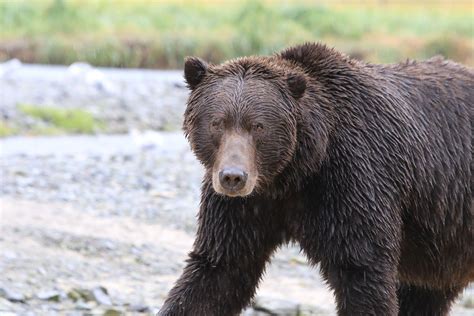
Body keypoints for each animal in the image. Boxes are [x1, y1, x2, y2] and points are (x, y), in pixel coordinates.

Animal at [160, 42, 474, 316]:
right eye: (217, 122)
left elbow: (362, 269)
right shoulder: (246, 207)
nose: (233, 177)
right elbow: (220, 270)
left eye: (258, 126)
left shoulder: (356, 179)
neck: (294, 172)